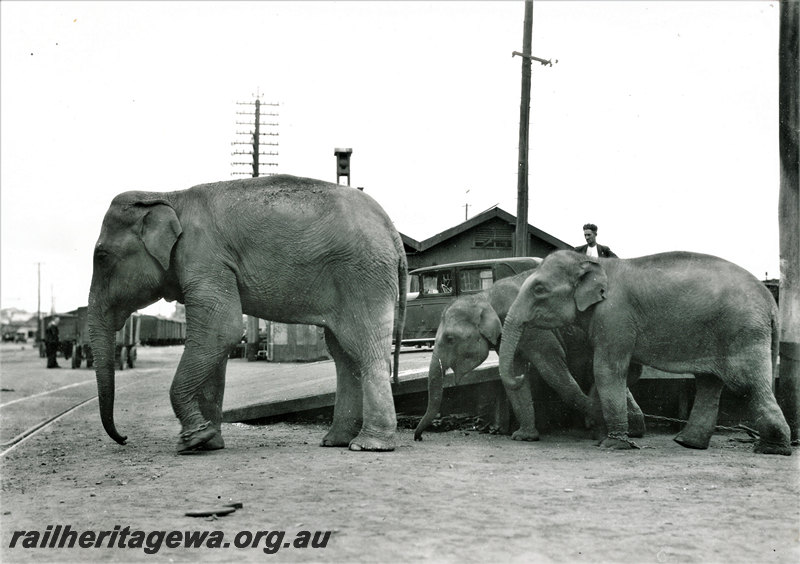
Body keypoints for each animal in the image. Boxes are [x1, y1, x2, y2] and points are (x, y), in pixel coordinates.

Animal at [88, 174, 407, 454]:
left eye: (101, 257)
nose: (124, 438)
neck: (168, 196)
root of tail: (393, 232)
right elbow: (213, 340)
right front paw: (209, 443)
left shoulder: (205, 258)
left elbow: (222, 330)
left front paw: (193, 441)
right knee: (343, 353)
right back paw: (336, 441)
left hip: (363, 275)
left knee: (363, 347)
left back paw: (368, 445)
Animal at [413, 269, 645, 442]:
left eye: (450, 339)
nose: (419, 437)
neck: (485, 296)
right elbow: (514, 374)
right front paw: (524, 437)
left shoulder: (534, 327)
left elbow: (552, 369)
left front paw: (595, 418)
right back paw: (633, 429)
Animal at [499, 250, 792, 455]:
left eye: (539, 289)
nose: (521, 374)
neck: (594, 262)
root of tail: (770, 301)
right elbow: (629, 371)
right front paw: (606, 430)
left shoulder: (615, 316)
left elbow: (607, 369)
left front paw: (612, 445)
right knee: (709, 382)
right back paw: (688, 443)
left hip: (742, 331)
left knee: (746, 384)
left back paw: (771, 449)